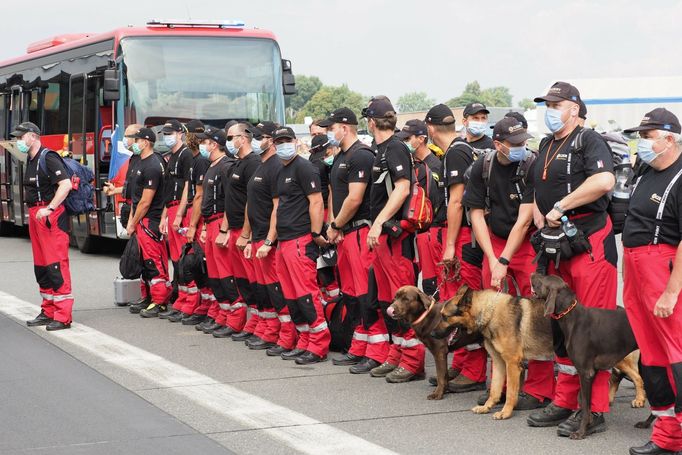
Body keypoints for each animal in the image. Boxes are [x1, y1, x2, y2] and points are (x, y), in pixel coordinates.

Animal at [432, 284, 556, 420]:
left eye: (445, 317)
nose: (432, 334)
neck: (490, 313)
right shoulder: (499, 362)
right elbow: (495, 389)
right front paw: (487, 407)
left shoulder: (512, 365)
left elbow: (510, 393)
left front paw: (505, 412)